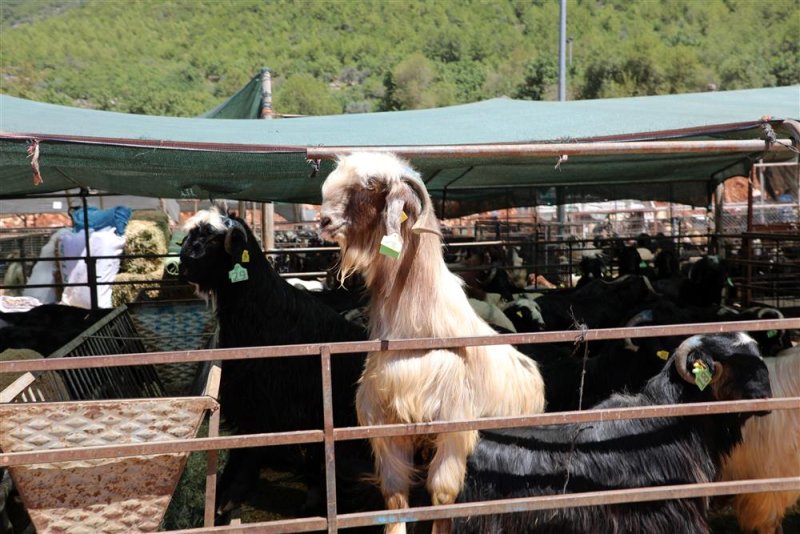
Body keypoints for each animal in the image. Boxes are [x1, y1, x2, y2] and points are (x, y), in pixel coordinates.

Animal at [178, 207, 372, 524]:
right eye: (192, 235)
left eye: (212, 239)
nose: (183, 264)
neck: (264, 313)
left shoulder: (272, 402)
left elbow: (253, 450)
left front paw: (228, 498)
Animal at [318, 153, 544, 532]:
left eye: (370, 186)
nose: (323, 220)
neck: (416, 329)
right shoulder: (387, 425)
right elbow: (395, 497)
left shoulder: (454, 426)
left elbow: (441, 497)